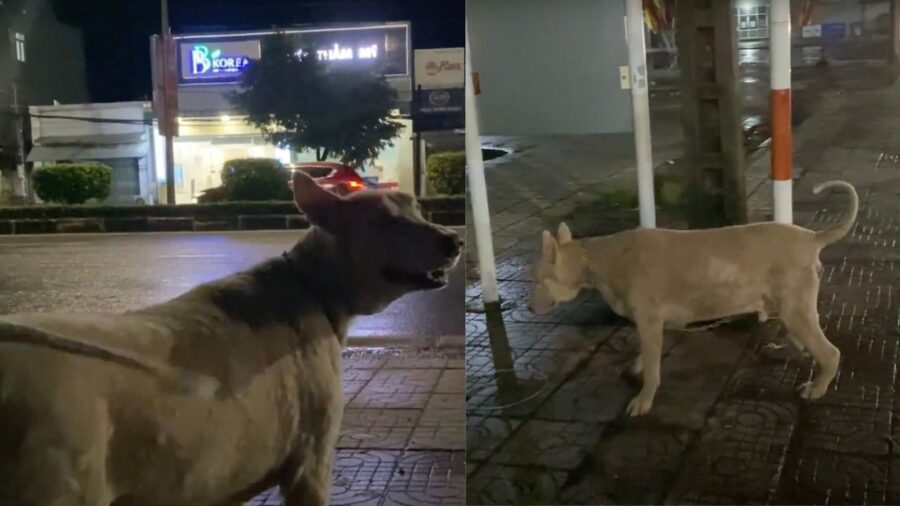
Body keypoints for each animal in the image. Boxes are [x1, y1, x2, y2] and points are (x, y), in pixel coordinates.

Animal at [528, 180, 856, 418]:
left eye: (537, 280)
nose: (529, 308)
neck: (597, 259)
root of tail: (811, 237)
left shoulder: (649, 321)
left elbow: (653, 369)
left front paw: (643, 400)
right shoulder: (648, 325)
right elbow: (644, 355)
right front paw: (637, 366)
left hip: (795, 308)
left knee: (830, 353)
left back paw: (817, 386)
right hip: (794, 308)